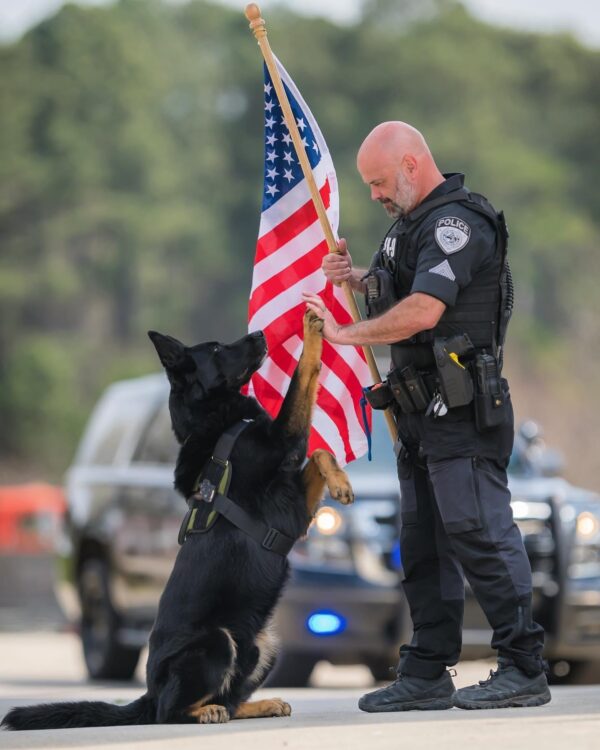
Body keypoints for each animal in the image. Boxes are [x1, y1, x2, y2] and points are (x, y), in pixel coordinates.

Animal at [2, 312, 354, 736]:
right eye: (216, 348)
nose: (258, 333)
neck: (217, 422)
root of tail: (148, 695)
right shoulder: (283, 439)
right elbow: (305, 374)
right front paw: (311, 326)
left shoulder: (295, 507)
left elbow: (320, 452)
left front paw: (341, 483)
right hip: (218, 642)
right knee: (171, 711)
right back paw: (202, 712)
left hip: (265, 643)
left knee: (229, 699)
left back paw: (259, 704)